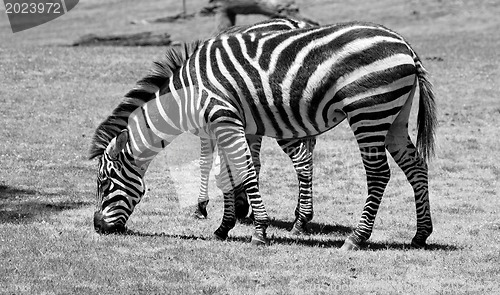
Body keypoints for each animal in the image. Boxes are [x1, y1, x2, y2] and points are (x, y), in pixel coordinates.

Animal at [92, 19, 436, 251]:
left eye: (104, 182)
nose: (97, 227)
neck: (188, 92)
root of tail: (406, 47)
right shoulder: (226, 124)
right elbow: (227, 174)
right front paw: (224, 227)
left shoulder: (224, 117)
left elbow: (244, 171)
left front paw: (259, 231)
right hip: (394, 115)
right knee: (416, 166)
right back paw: (420, 235)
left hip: (369, 111)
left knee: (378, 174)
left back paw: (356, 237)